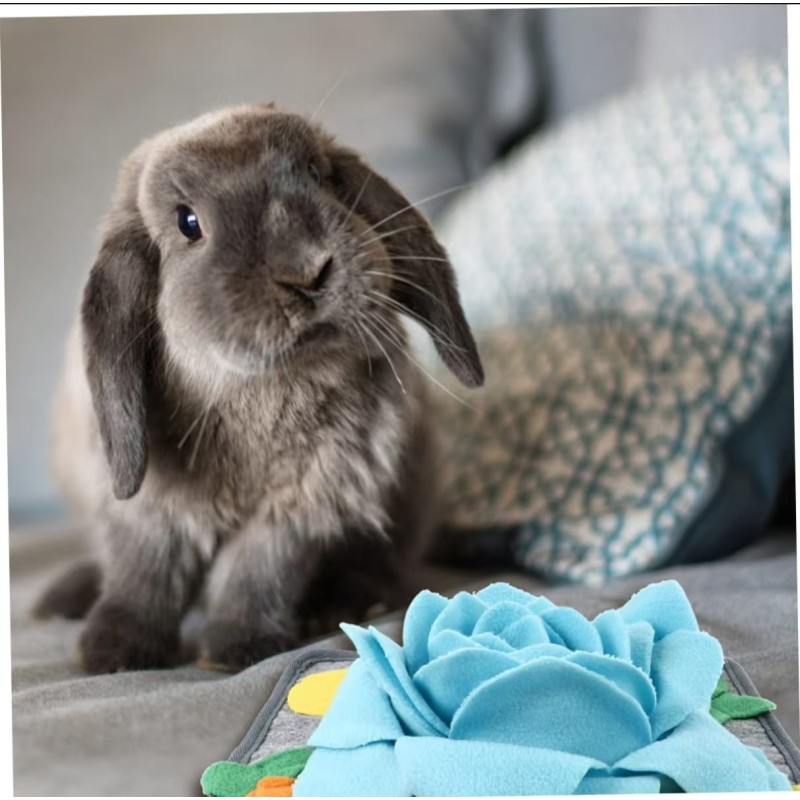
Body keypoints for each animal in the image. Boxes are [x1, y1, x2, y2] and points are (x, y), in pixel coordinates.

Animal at [34, 103, 484, 674]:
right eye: (187, 222)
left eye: (317, 175)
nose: (307, 272)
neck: (260, 390)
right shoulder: (149, 509)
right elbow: (144, 574)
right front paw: (112, 653)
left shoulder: (297, 508)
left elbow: (255, 574)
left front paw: (238, 650)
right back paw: (64, 599)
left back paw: (341, 604)